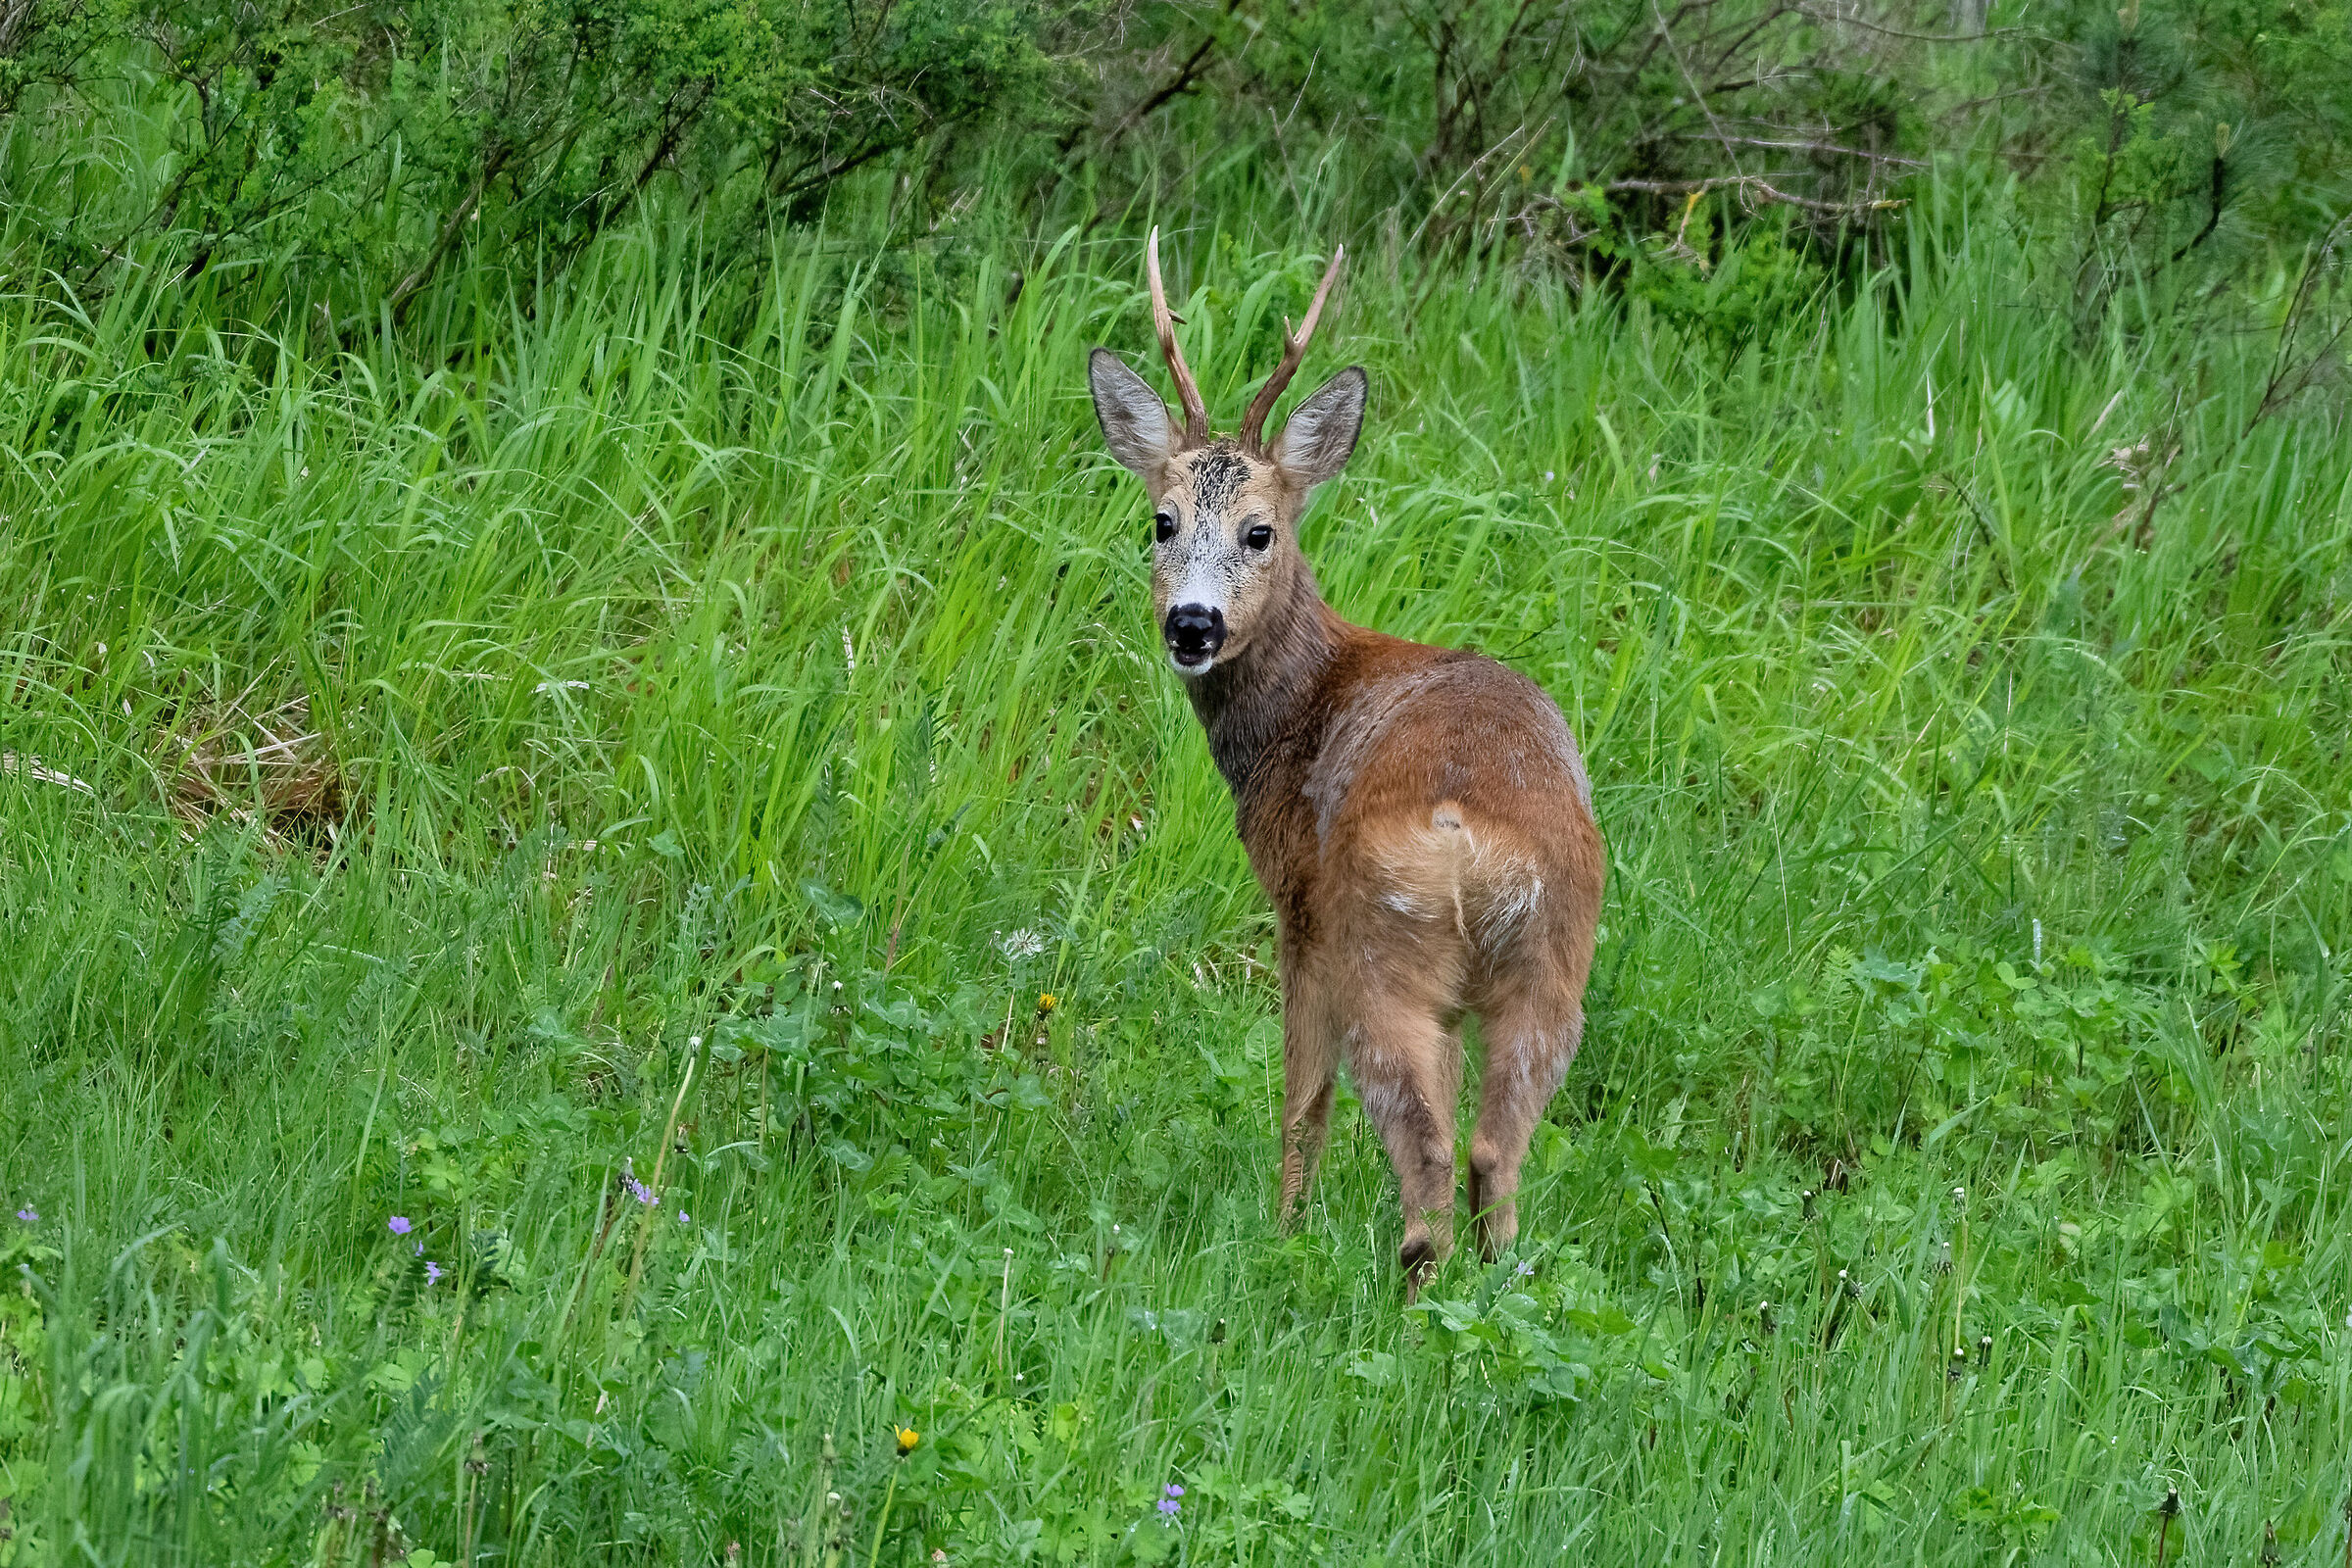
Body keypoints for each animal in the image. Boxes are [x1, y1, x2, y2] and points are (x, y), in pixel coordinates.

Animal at [1087, 231, 1606, 1297]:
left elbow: (1300, 1098)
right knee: (1492, 1146)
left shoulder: (1297, 907)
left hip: (1380, 936)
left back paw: (1404, 1289)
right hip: (1553, 955)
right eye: (1161, 521)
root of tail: (1468, 834)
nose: (1191, 624)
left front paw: (1283, 1225)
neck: (1304, 703)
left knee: (1427, 1140)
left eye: (1260, 530)